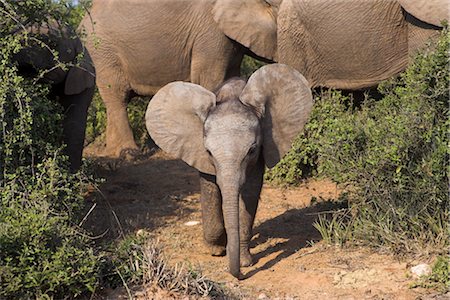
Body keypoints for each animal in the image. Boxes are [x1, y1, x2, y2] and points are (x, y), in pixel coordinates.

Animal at [146, 63, 312, 278]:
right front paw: (216, 250)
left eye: (251, 150)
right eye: (208, 152)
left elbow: (250, 192)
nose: (238, 274)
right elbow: (210, 188)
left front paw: (246, 262)